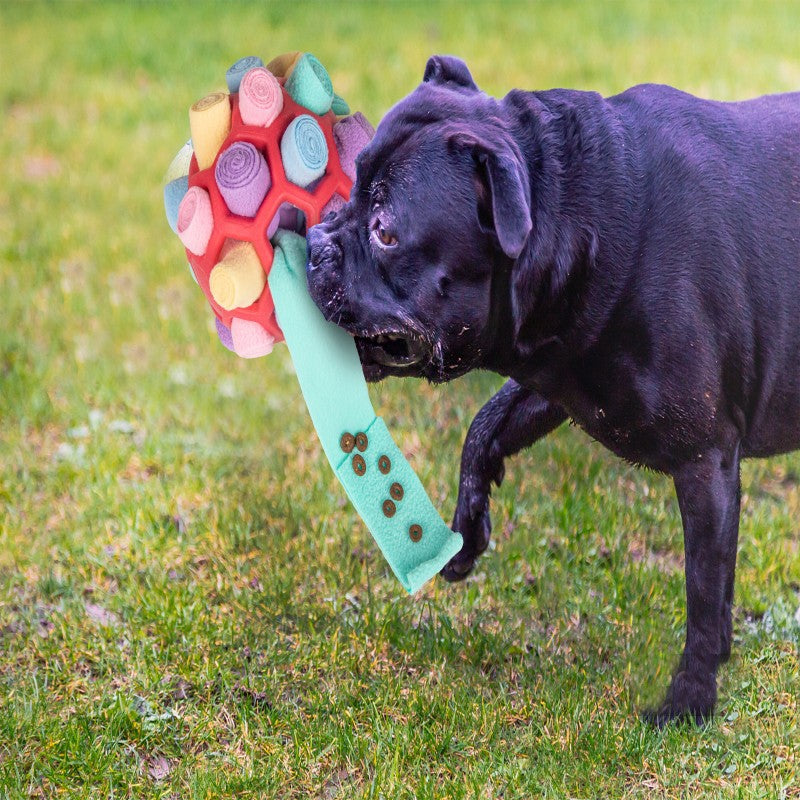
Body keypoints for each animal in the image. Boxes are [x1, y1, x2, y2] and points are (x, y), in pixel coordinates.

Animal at [304, 56, 800, 724]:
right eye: (352, 190)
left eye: (385, 232)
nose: (315, 241)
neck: (577, 214)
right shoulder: (558, 377)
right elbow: (485, 426)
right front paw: (468, 528)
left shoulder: (707, 461)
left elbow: (704, 590)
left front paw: (690, 699)